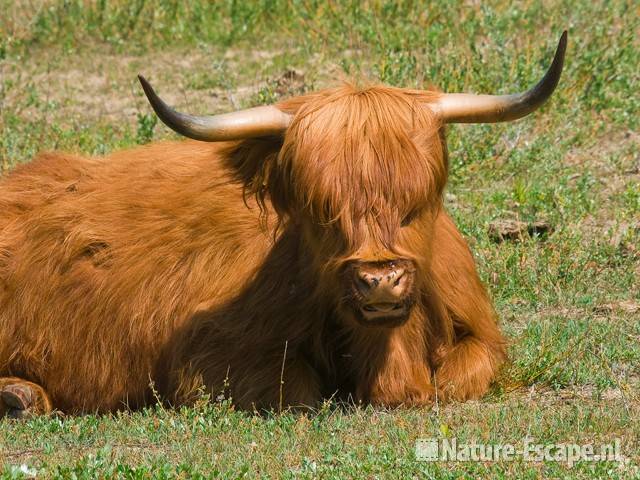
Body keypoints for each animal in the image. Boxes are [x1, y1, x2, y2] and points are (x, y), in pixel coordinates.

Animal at [0, 32, 564, 416]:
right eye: (320, 211)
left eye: (417, 204)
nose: (380, 279)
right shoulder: (203, 356)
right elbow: (299, 390)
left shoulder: (480, 336)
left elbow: (459, 376)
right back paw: (19, 395)